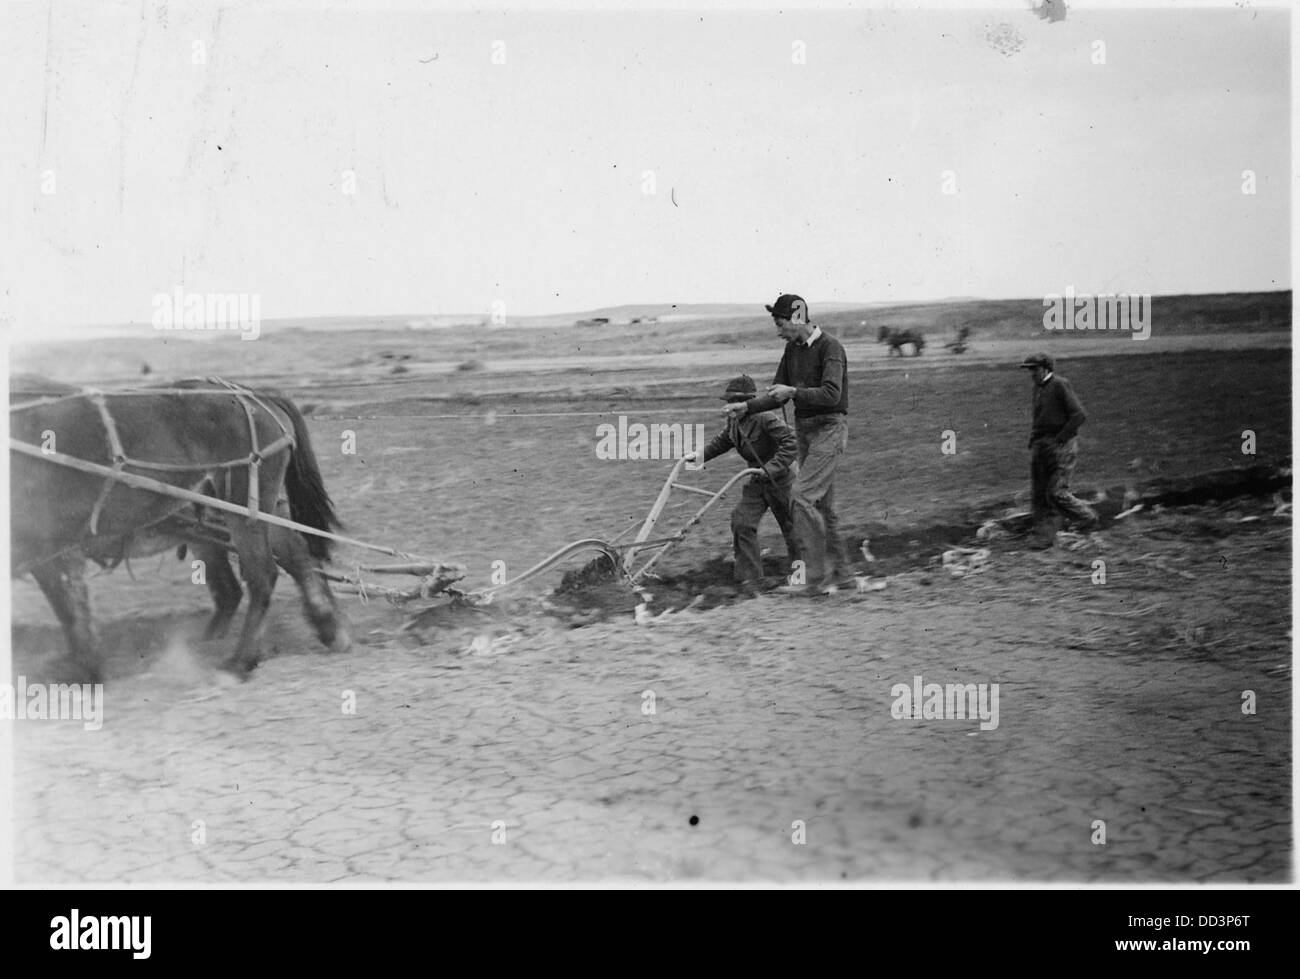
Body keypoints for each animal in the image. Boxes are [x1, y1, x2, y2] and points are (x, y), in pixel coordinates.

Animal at [8, 374, 351, 681]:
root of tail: (256, 397)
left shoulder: (49, 547)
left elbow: (71, 611)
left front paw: (85, 671)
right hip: (261, 511)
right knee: (296, 561)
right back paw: (329, 629)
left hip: (242, 508)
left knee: (261, 575)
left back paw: (241, 661)